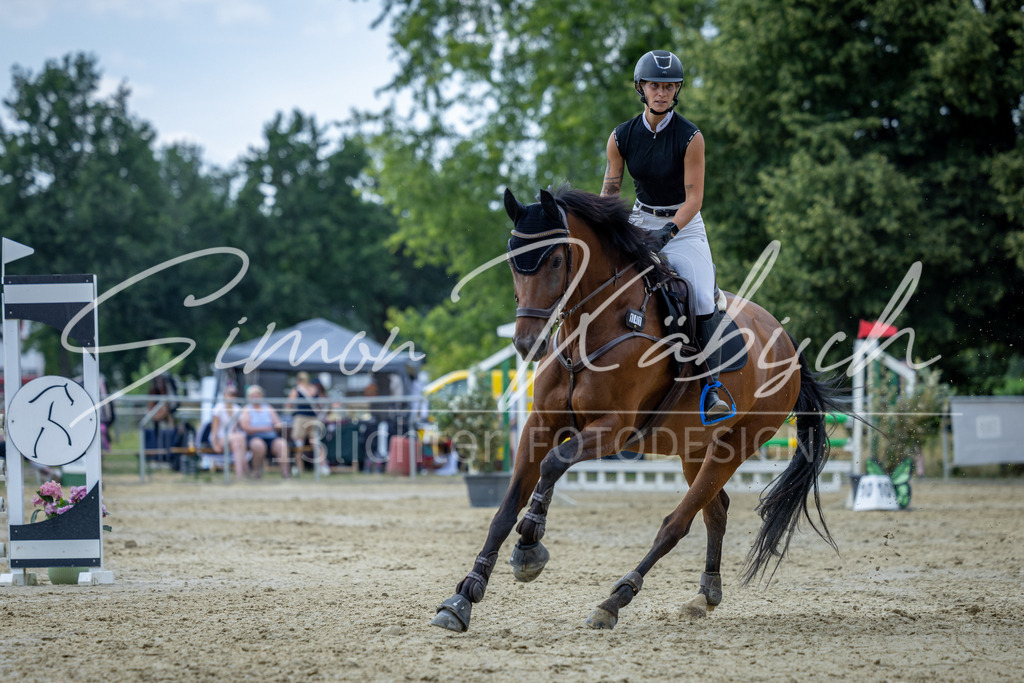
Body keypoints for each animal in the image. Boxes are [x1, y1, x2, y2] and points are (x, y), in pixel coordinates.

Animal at [431, 185, 844, 632]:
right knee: (715, 512)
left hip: (735, 446)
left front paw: (529, 544)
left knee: (676, 524)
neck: (589, 331)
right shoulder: (540, 426)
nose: (528, 344)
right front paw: (463, 596)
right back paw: (705, 595)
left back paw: (615, 599)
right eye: (512, 260)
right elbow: (505, 510)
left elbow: (554, 463)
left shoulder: (613, 430)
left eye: (556, 260)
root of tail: (787, 342)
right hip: (694, 448)